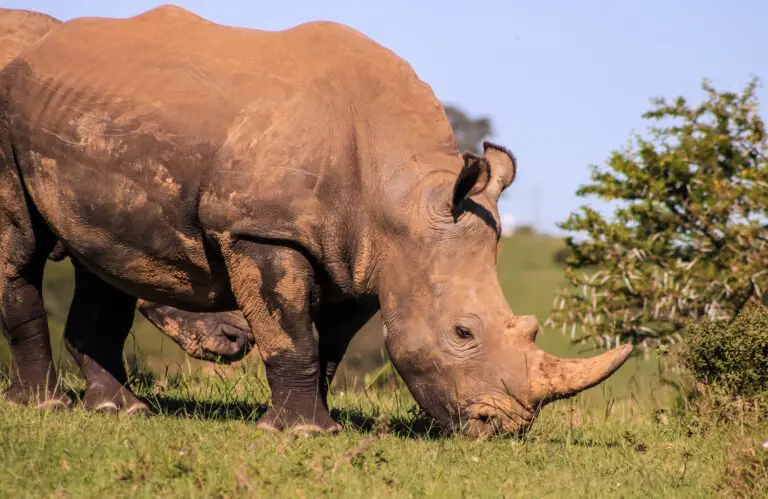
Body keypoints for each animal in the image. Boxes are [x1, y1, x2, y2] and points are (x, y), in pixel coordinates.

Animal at [0, 5, 632, 436]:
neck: (404, 197)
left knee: (104, 262)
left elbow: (328, 344)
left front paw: (314, 425)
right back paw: (46, 405)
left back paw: (121, 412)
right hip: (10, 112)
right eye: (462, 332)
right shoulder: (262, 230)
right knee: (23, 247)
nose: (503, 427)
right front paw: (301, 432)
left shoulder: (363, 259)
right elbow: (292, 332)